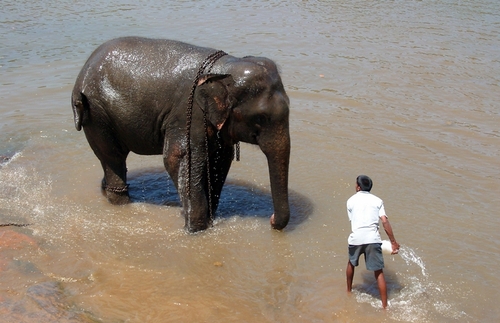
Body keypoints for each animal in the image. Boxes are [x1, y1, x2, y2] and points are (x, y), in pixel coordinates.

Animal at [70, 36, 290, 233]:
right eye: (260, 117)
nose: (271, 220)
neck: (226, 66)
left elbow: (219, 160)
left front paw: (208, 220)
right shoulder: (188, 114)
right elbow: (178, 158)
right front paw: (196, 230)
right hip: (97, 114)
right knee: (113, 157)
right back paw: (121, 203)